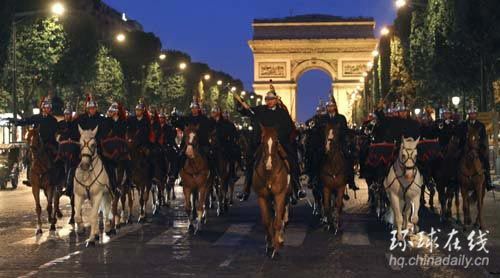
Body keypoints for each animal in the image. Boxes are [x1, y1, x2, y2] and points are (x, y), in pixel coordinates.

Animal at [252, 126, 292, 258]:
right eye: (262, 142)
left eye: (276, 142)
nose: (268, 164)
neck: (269, 174)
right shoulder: (262, 197)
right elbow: (267, 221)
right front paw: (269, 244)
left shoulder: (279, 195)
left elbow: (277, 221)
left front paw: (276, 248)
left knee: (281, 215)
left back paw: (279, 238)